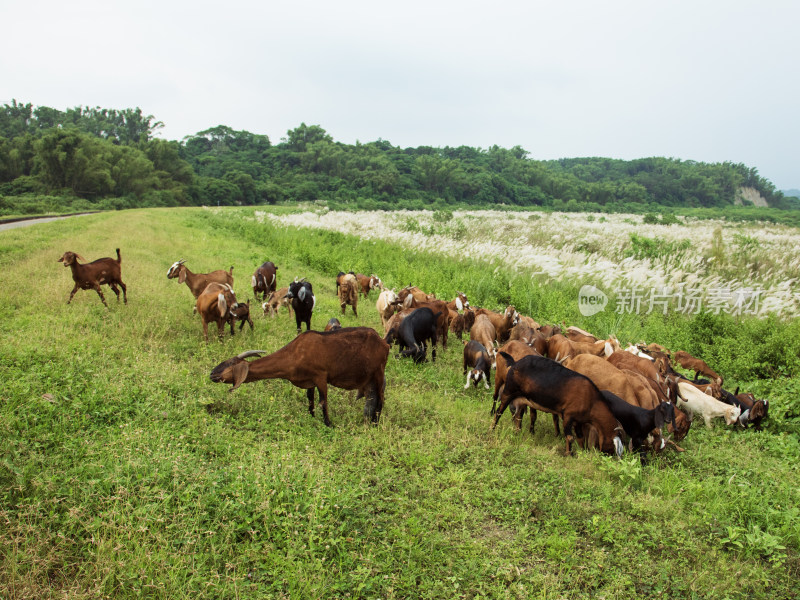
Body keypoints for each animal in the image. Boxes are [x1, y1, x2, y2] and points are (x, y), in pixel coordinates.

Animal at [209, 328, 390, 426]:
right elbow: (310, 399)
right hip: (369, 378)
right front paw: (311, 417)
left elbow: (323, 402)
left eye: (229, 365)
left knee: (381, 398)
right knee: (372, 398)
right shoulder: (309, 380)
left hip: (379, 371)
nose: (212, 374)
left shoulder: (320, 376)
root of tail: (384, 343)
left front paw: (328, 424)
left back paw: (375, 423)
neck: (294, 353)